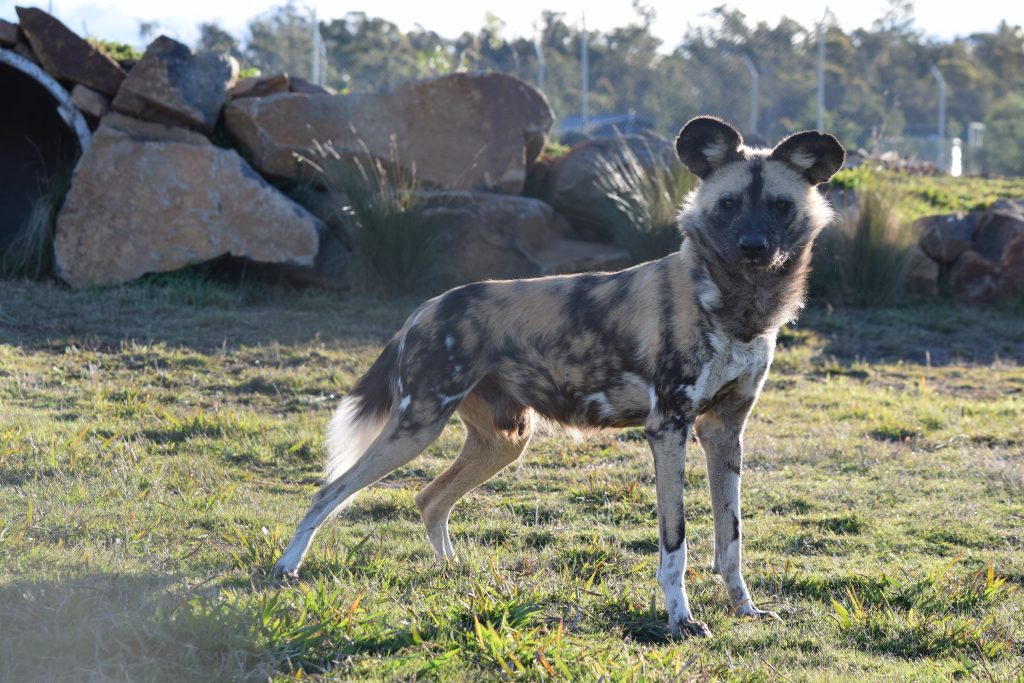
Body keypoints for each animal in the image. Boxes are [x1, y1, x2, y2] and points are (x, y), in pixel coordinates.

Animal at [276, 116, 843, 634]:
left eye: (779, 205)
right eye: (728, 205)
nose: (753, 245)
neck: (739, 308)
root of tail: (426, 307)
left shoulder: (724, 432)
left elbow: (731, 540)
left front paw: (745, 610)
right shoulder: (669, 430)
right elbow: (675, 545)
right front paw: (681, 620)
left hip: (504, 440)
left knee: (429, 499)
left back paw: (455, 573)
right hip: (417, 427)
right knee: (329, 491)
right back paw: (287, 568)